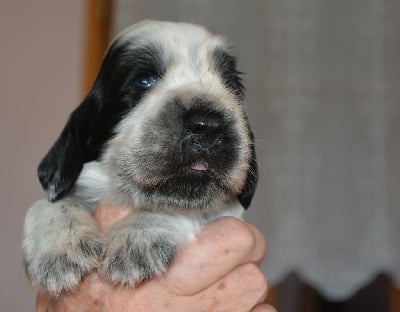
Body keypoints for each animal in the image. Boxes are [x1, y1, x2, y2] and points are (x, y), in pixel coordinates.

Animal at [23, 20, 258, 296]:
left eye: (231, 86)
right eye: (143, 80)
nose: (208, 126)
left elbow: (179, 207)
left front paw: (137, 237)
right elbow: (49, 203)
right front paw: (60, 247)